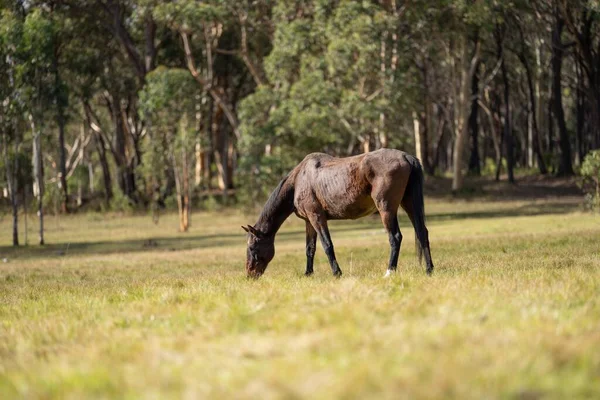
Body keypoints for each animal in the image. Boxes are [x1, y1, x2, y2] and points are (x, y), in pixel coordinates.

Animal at [241, 148, 434, 278]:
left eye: (252, 247)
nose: (250, 274)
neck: (298, 181)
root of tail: (406, 157)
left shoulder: (317, 217)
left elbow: (327, 245)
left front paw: (336, 273)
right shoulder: (309, 221)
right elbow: (310, 248)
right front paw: (308, 274)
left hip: (386, 208)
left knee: (395, 237)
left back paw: (389, 271)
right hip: (409, 204)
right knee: (422, 233)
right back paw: (429, 269)